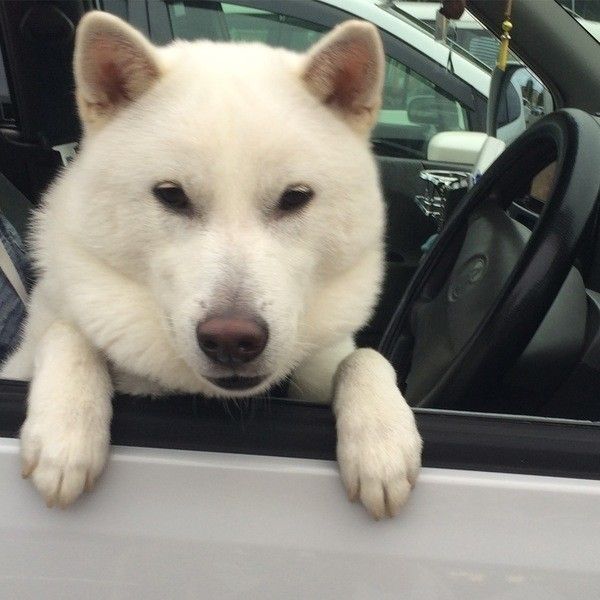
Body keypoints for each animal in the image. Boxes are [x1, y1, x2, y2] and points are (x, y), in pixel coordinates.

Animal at [0, 11, 422, 518]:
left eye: (295, 198)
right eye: (171, 195)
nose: (232, 340)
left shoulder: (330, 356)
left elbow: (362, 358)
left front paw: (382, 440)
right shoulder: (28, 353)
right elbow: (67, 333)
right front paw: (65, 431)